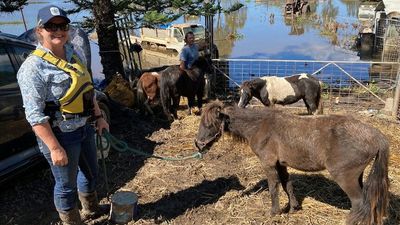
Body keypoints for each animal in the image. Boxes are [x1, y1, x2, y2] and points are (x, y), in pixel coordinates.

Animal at [195, 101, 390, 225]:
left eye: (209, 124)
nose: (198, 144)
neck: (260, 125)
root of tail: (376, 136)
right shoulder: (281, 164)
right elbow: (287, 185)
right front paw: (293, 207)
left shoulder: (268, 163)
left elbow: (274, 187)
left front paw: (274, 212)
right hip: (357, 176)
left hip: (345, 178)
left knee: (359, 203)